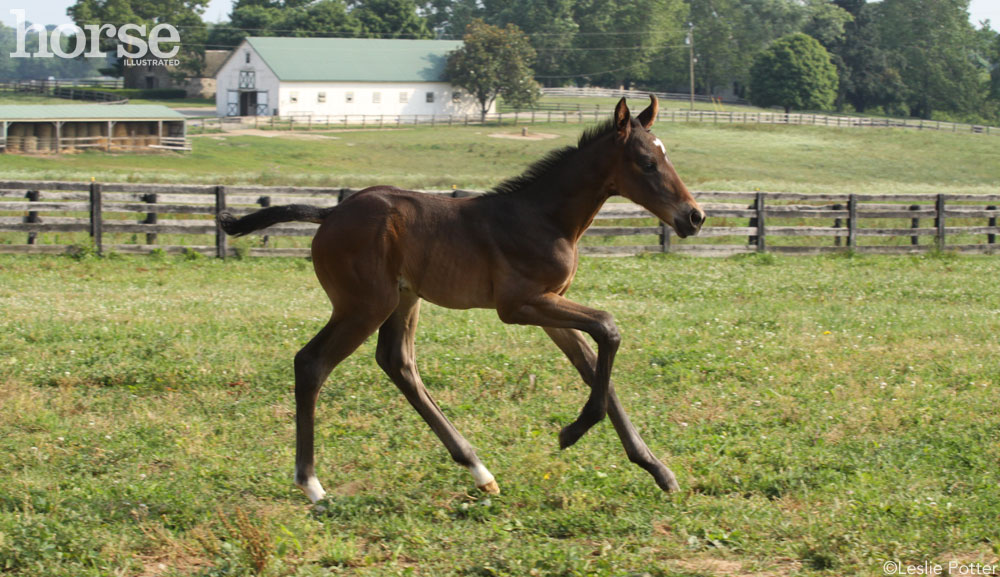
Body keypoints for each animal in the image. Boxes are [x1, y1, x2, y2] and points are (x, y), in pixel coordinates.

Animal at [219, 97, 704, 502]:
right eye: (647, 162)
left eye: (666, 156)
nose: (694, 217)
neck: (544, 218)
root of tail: (331, 211)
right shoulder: (520, 306)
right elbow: (608, 326)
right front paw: (572, 431)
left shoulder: (551, 306)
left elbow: (594, 365)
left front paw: (658, 470)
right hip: (364, 305)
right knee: (312, 363)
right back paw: (312, 484)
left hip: (402, 300)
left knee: (397, 363)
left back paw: (479, 470)